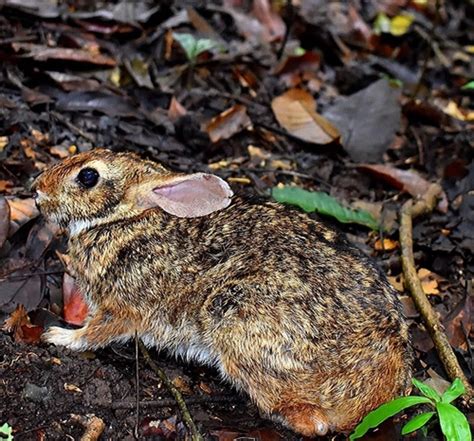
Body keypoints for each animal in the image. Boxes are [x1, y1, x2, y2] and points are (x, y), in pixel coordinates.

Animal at [32, 149, 412, 436]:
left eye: (88, 177)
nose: (36, 190)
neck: (126, 219)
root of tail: (383, 384)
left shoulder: (122, 306)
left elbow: (97, 332)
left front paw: (60, 336)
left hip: (239, 322)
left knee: (313, 422)